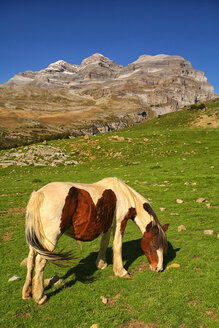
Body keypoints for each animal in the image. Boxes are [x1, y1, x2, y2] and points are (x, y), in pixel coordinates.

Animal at [22, 177, 169, 304]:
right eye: (154, 245)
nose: (159, 268)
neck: (124, 195)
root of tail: (39, 194)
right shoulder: (120, 222)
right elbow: (117, 245)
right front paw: (121, 272)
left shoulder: (107, 225)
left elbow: (104, 243)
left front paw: (101, 264)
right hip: (49, 240)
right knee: (40, 262)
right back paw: (40, 297)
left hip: (37, 240)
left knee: (30, 261)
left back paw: (27, 293)